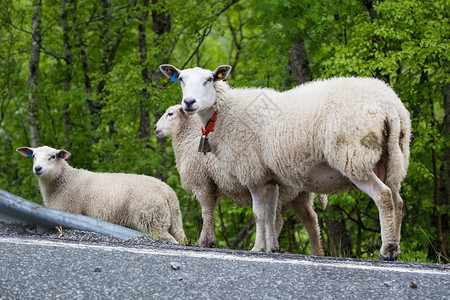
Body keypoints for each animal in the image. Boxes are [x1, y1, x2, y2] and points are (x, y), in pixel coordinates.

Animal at [15, 146, 185, 244]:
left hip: (151, 219)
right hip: (171, 221)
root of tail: (168, 192)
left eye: (52, 156)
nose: (37, 168)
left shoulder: (68, 210)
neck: (65, 181)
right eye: (33, 156)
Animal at [155, 104, 326, 254]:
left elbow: (206, 213)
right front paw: (208, 240)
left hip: (282, 191)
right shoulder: (213, 186)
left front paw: (205, 242)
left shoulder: (202, 183)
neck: (188, 139)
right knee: (310, 219)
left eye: (170, 113)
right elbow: (211, 211)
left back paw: (266, 247)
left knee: (276, 220)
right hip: (301, 194)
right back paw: (316, 251)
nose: (156, 129)